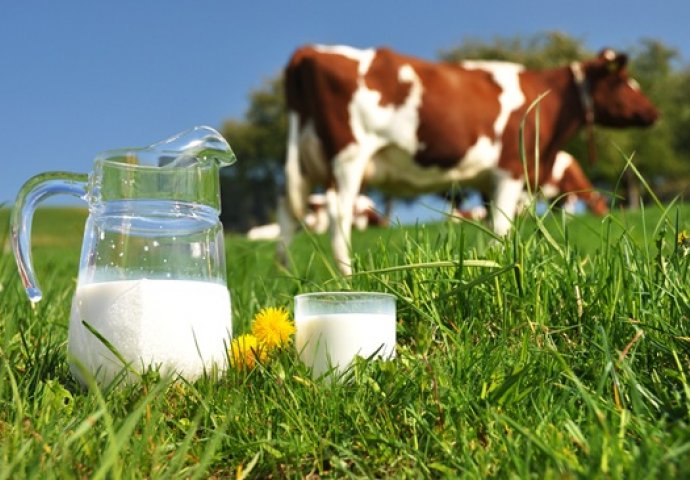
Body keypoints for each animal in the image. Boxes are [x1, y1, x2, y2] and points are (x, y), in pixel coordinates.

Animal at [278, 45, 656, 274]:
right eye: (623, 80)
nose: (654, 112)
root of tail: (308, 51)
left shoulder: (490, 181)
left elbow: (492, 224)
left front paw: (489, 263)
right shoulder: (510, 169)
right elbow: (502, 225)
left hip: (305, 162)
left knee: (288, 214)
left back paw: (285, 273)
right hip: (349, 158)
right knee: (338, 215)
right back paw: (348, 276)